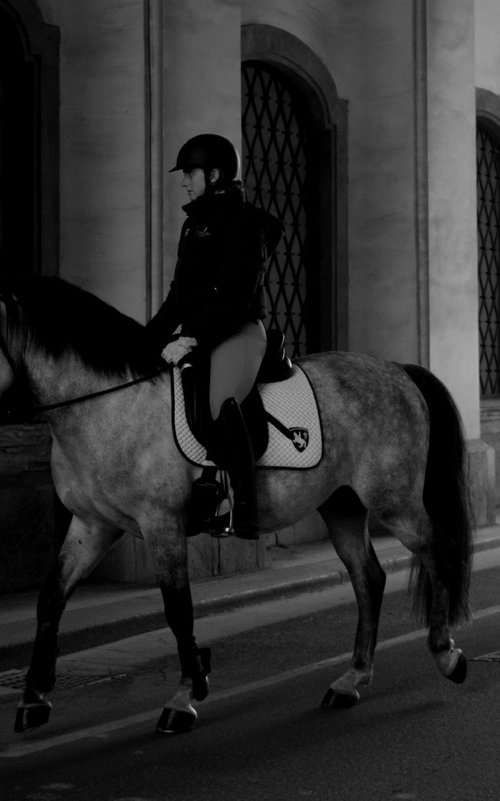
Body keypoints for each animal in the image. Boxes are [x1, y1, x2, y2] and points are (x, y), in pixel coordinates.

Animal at [0, 274, 472, 732]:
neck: (111, 405)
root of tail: (398, 369)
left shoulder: (162, 524)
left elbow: (178, 608)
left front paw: (185, 697)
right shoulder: (92, 526)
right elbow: (51, 598)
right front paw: (33, 697)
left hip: (394, 501)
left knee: (439, 551)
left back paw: (446, 654)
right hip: (343, 505)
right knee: (369, 578)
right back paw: (351, 679)